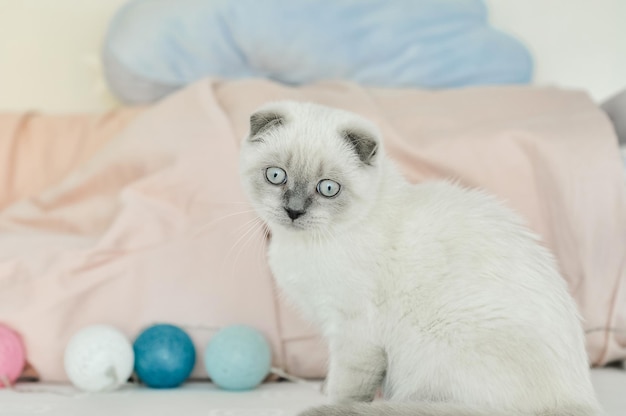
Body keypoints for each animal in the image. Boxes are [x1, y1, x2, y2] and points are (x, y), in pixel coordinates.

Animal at [238, 101, 600, 416]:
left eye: (328, 188)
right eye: (276, 176)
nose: (294, 211)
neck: (305, 244)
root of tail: (577, 402)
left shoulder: (353, 333)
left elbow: (345, 389)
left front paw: (330, 402)